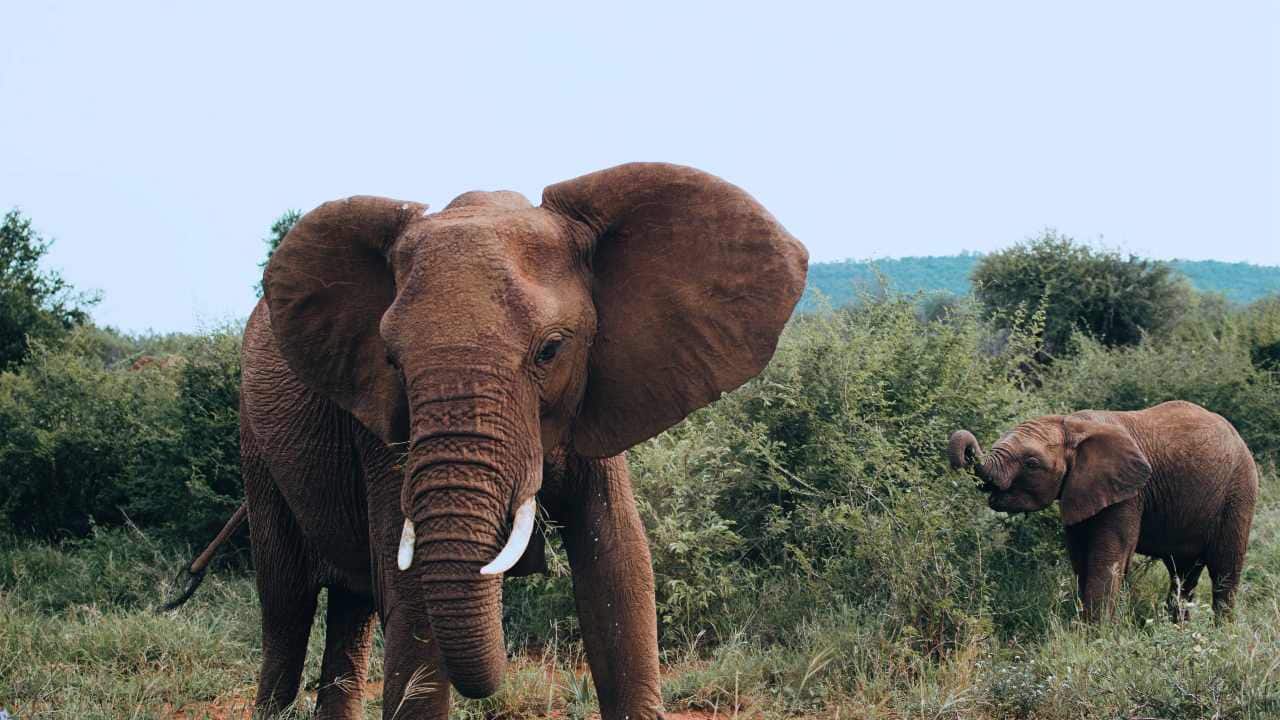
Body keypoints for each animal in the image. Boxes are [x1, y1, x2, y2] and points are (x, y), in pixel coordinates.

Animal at [228, 163, 806, 719]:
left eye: (550, 350)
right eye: (392, 360)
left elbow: (618, 566)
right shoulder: (382, 426)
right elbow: (411, 596)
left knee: (351, 608)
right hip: (255, 447)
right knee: (287, 607)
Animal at [948, 400, 1257, 622]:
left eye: (1032, 463)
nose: (967, 449)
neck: (1073, 424)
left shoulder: (1129, 495)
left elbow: (1107, 557)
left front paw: (1095, 636)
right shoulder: (1080, 488)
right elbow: (1081, 558)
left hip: (1238, 492)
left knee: (1224, 571)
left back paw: (1220, 635)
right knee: (1183, 573)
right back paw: (1179, 632)